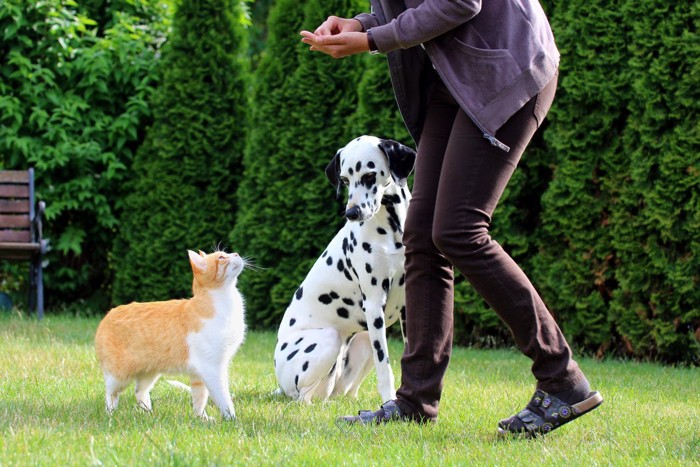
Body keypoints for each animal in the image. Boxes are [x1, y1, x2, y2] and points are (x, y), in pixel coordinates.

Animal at [93, 250, 246, 422]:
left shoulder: (199, 374)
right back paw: (110, 414)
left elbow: (200, 399)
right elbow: (223, 397)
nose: (236, 253)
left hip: (149, 372)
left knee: (139, 391)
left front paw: (201, 418)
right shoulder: (212, 369)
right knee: (110, 393)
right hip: (119, 377)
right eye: (221, 257)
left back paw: (149, 413)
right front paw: (231, 419)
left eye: (227, 253)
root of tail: (108, 314)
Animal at [274, 134, 416, 402]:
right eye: (345, 179)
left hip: (364, 340)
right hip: (330, 339)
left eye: (369, 175)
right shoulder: (374, 304)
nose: (351, 212)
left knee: (342, 392)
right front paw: (390, 401)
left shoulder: (406, 307)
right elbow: (385, 369)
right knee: (302, 397)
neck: (392, 230)